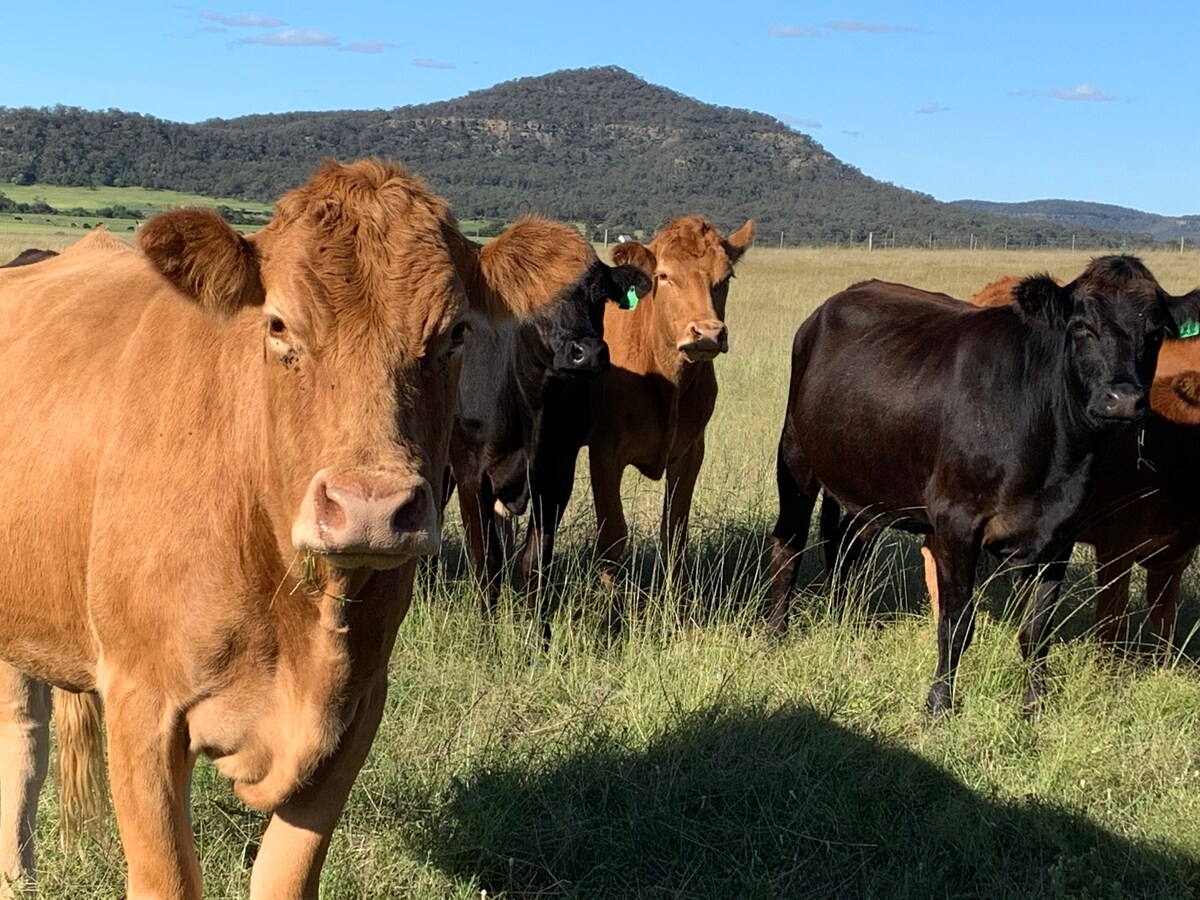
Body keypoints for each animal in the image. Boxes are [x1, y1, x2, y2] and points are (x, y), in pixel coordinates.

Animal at [0, 164, 600, 900]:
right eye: (279, 325)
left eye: (456, 332)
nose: (370, 507)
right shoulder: (141, 705)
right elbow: (166, 877)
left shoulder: (358, 708)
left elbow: (286, 876)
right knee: (23, 733)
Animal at [448, 256, 648, 628]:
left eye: (601, 292)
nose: (588, 352)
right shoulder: (471, 476)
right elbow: (487, 562)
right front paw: (486, 637)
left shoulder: (556, 477)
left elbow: (536, 563)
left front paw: (538, 636)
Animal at [588, 217, 753, 592]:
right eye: (663, 275)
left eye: (726, 277)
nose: (708, 333)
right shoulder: (604, 450)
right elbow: (612, 536)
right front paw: (606, 603)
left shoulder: (691, 451)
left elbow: (674, 531)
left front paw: (675, 599)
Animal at [768, 255, 1200, 720]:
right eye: (1083, 326)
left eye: (1155, 334)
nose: (1124, 400)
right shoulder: (957, 523)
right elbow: (957, 622)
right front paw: (940, 703)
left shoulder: (1060, 534)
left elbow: (1037, 629)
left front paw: (1033, 704)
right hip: (794, 457)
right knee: (790, 544)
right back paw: (775, 632)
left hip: (867, 483)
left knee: (847, 546)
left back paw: (844, 620)